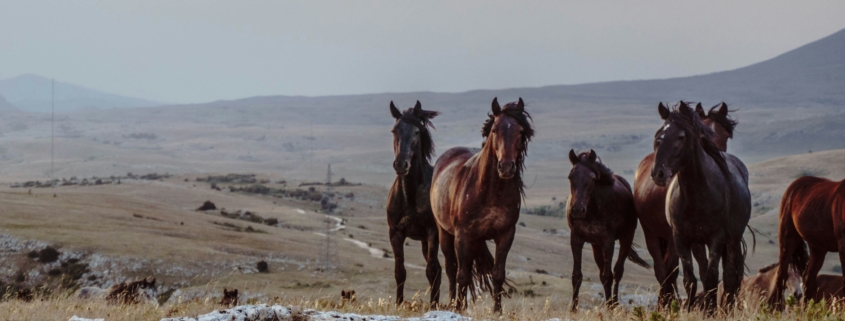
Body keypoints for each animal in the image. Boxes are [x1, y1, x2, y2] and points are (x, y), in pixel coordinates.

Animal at [388, 101, 446, 306]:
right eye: (394, 130)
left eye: (416, 132)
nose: (401, 165)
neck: (410, 196)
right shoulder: (395, 233)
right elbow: (399, 272)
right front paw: (398, 305)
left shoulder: (432, 233)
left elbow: (431, 270)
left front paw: (434, 306)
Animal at [432, 97, 532, 310]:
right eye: (494, 129)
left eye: (521, 131)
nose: (506, 167)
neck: (491, 192)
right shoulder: (463, 235)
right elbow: (461, 275)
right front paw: (458, 308)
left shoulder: (505, 234)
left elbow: (498, 274)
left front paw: (497, 310)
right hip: (445, 233)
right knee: (452, 269)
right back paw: (453, 302)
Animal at [564, 149, 648, 310]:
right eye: (570, 176)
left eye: (592, 178)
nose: (577, 210)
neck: (592, 209)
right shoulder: (576, 239)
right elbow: (577, 276)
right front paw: (573, 309)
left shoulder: (608, 242)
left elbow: (608, 275)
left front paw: (610, 307)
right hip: (596, 246)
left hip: (625, 239)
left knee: (617, 272)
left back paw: (614, 302)